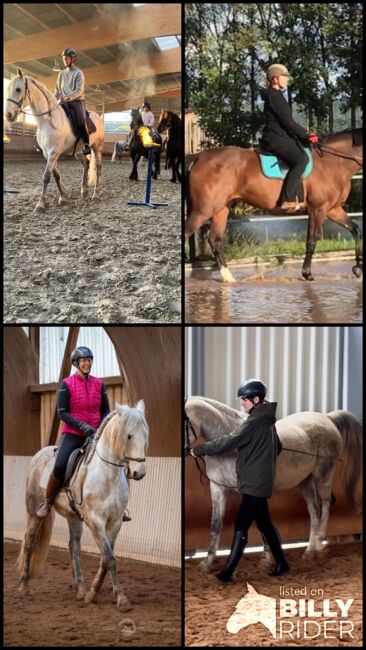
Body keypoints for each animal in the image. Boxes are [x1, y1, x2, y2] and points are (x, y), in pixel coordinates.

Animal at [4, 69, 104, 214]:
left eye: (18, 89)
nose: (8, 115)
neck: (47, 120)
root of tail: (98, 116)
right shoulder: (47, 154)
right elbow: (56, 175)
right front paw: (63, 198)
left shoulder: (53, 153)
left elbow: (46, 176)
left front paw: (40, 204)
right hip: (79, 152)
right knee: (86, 164)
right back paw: (84, 192)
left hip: (97, 147)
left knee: (98, 167)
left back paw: (95, 195)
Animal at [16, 400, 149, 608]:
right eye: (128, 435)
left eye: (145, 434)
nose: (139, 472)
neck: (107, 475)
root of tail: (40, 453)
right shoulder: (95, 521)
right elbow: (109, 558)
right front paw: (120, 599)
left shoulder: (115, 521)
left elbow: (105, 558)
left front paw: (93, 593)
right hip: (33, 510)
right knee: (29, 542)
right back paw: (24, 586)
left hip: (73, 516)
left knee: (74, 547)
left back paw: (80, 588)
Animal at [184, 392, 362, 568]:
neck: (233, 445)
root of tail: (327, 418)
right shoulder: (218, 489)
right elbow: (215, 524)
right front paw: (207, 563)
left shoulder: (252, 492)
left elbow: (259, 523)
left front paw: (267, 558)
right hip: (305, 481)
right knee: (314, 510)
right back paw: (310, 550)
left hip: (323, 475)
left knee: (325, 504)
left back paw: (318, 545)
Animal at [186, 128, 364, 280]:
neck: (333, 163)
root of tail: (199, 157)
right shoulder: (317, 209)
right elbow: (311, 241)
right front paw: (307, 273)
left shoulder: (333, 209)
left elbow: (356, 230)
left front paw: (358, 268)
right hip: (203, 210)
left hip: (221, 209)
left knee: (215, 241)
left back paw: (229, 279)